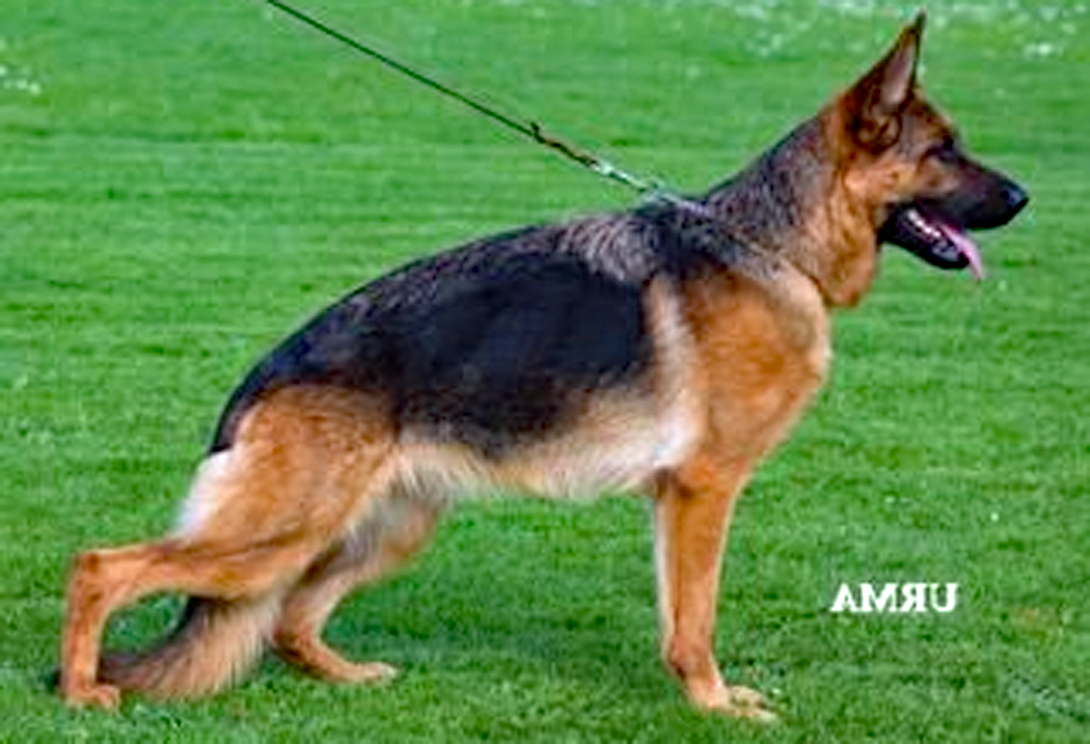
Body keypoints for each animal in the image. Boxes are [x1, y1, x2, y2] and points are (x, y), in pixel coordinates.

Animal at [59, 13, 1027, 719]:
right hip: (279, 533)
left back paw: (341, 675)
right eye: (944, 152)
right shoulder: (705, 490)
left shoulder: (674, 500)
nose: (1025, 196)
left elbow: (678, 615)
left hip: (383, 527)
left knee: (290, 620)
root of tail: (259, 377)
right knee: (102, 566)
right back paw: (81, 691)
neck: (773, 246)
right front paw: (715, 705)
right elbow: (699, 616)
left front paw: (697, 695)